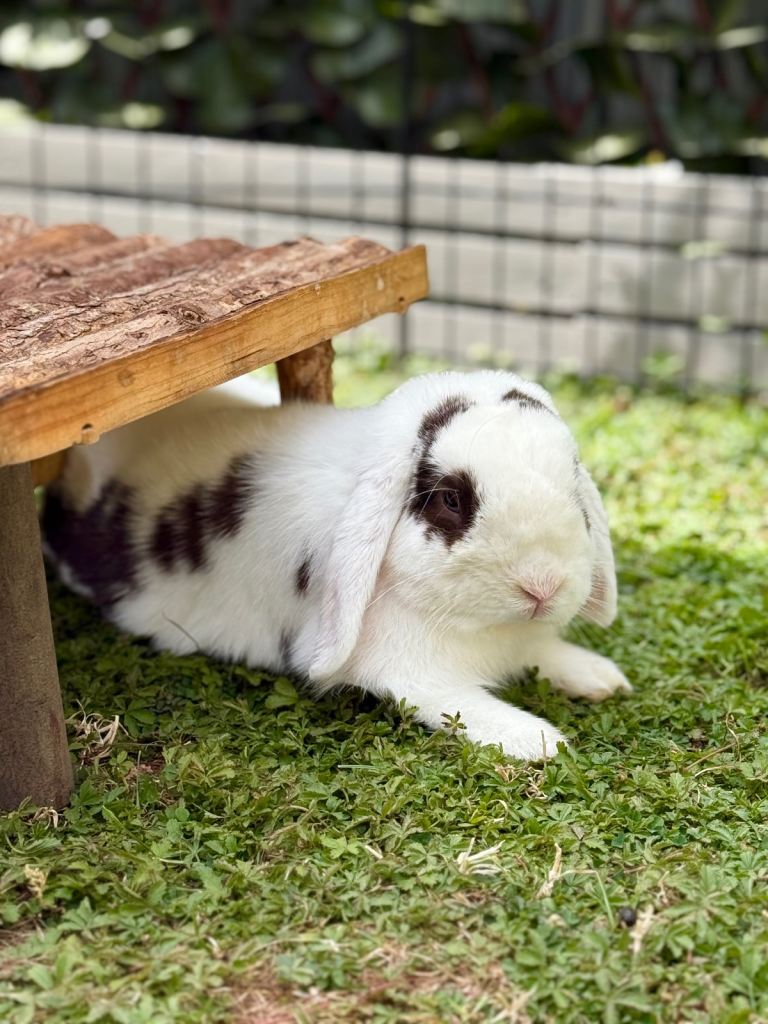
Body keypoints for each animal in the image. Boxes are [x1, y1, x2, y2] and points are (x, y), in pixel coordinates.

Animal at [43, 369, 631, 761]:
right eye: (451, 499)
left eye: (573, 483)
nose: (542, 587)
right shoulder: (413, 674)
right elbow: (463, 706)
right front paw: (540, 740)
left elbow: (546, 653)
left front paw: (601, 678)